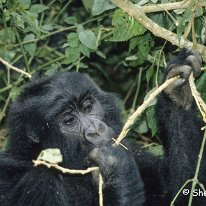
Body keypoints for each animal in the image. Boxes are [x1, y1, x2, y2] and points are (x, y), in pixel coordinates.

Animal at [0, 48, 204, 206]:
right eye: (69, 120)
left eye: (88, 107)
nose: (96, 130)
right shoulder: (36, 181)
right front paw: (114, 165)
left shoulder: (131, 149)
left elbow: (180, 197)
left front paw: (176, 92)